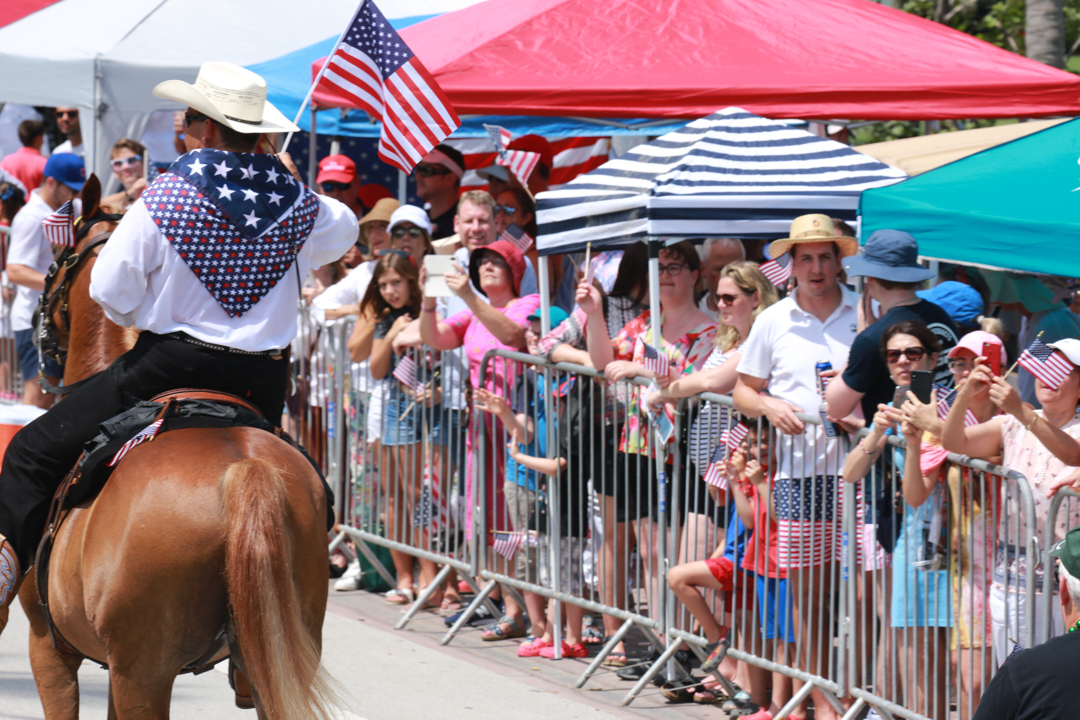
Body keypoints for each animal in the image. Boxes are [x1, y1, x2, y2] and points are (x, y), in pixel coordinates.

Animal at [16, 175, 339, 720]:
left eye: (56, 260)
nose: (43, 349)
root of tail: (244, 471)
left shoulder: (49, 648)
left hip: (143, 671)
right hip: (284, 659)